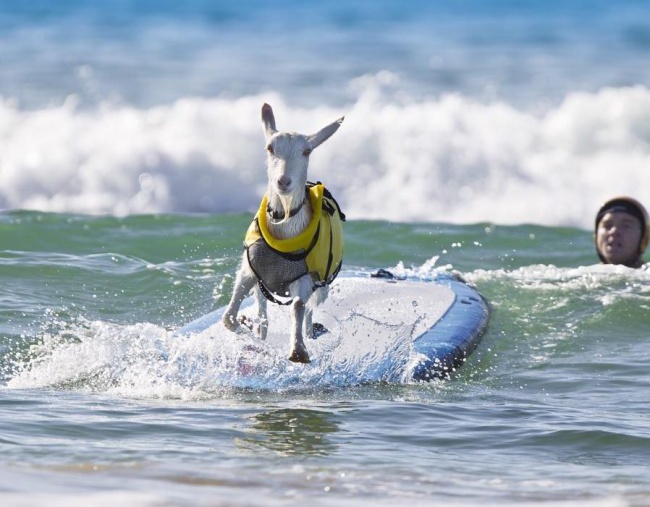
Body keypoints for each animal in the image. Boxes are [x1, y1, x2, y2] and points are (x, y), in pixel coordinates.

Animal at [221, 103, 345, 363]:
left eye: (307, 151)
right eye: (270, 148)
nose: (283, 182)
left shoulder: (305, 276)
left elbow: (298, 306)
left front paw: (298, 350)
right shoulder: (251, 269)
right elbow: (229, 317)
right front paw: (249, 332)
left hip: (322, 286)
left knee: (308, 311)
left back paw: (308, 335)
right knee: (262, 310)